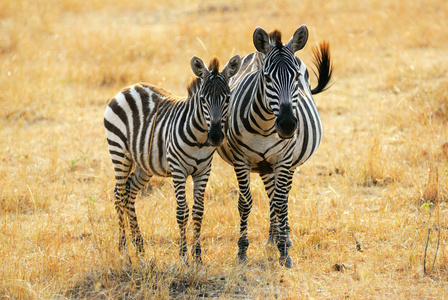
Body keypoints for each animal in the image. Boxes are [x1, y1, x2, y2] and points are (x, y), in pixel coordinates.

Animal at [104, 54, 242, 262]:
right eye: (203, 99)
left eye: (227, 98)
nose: (216, 136)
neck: (199, 139)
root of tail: (129, 87)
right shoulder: (179, 170)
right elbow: (182, 212)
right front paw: (184, 255)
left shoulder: (203, 171)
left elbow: (198, 212)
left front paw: (198, 256)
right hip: (120, 153)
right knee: (119, 195)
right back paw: (123, 248)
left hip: (144, 164)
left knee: (129, 192)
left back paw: (139, 245)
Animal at [217, 25, 332, 268]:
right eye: (267, 77)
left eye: (296, 76)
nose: (288, 125)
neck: (265, 126)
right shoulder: (241, 161)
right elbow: (245, 203)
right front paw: (242, 251)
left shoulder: (284, 160)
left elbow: (280, 202)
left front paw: (284, 252)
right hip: (265, 166)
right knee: (271, 194)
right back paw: (272, 237)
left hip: (287, 164)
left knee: (283, 197)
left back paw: (284, 237)